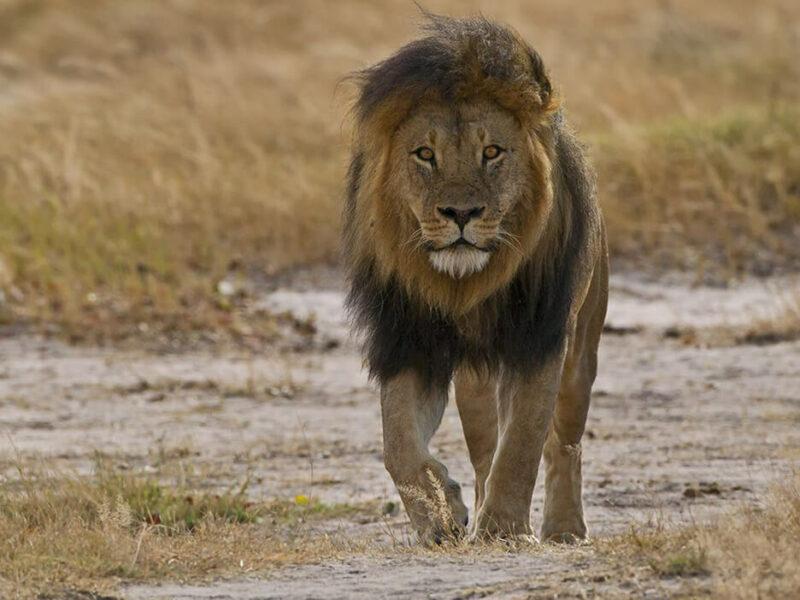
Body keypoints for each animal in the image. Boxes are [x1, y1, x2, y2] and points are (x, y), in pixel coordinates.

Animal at [343, 14, 608, 544]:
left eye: (492, 152)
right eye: (425, 154)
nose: (460, 213)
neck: (463, 288)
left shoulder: (538, 341)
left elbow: (524, 442)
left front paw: (504, 528)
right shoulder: (408, 342)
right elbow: (398, 446)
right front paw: (441, 516)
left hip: (581, 353)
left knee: (564, 443)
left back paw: (564, 527)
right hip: (475, 382)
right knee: (485, 451)